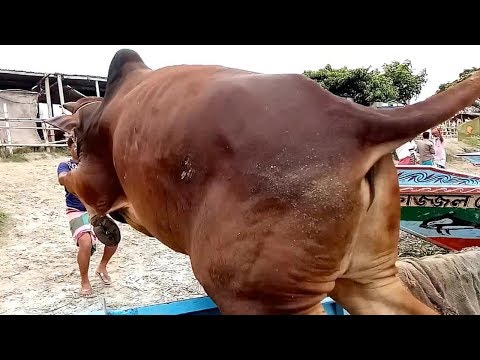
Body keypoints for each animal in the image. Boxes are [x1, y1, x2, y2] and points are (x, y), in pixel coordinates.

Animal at [46, 49, 480, 314]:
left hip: (255, 295)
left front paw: (105, 225)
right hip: (367, 277)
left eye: (71, 141)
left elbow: (79, 188)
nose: (67, 145)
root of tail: (357, 119)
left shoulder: (96, 177)